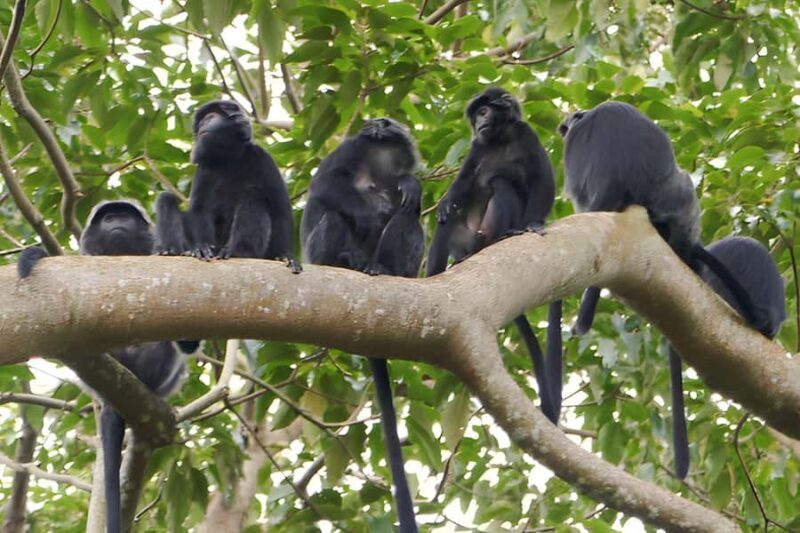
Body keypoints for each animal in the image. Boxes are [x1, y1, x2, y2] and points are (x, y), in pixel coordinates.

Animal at [155, 99, 301, 272]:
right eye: (201, 123)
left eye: (209, 119)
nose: (202, 127)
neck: (229, 158)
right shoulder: (204, 168)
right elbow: (200, 209)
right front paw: (203, 248)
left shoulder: (263, 158)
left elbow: (280, 210)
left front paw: (284, 254)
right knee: (166, 198)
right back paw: (173, 251)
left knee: (254, 194)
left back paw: (240, 251)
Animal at [301, 118, 423, 532]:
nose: (376, 124)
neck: (380, 161)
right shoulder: (348, 151)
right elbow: (326, 186)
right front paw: (371, 210)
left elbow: (410, 198)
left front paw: (409, 187)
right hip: (319, 251)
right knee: (334, 217)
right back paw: (347, 259)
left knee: (409, 219)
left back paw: (385, 268)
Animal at [426, 87, 562, 424]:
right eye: (477, 115)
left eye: (486, 111)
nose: (479, 122)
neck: (500, 140)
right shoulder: (477, 147)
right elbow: (459, 189)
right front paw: (446, 202)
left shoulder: (526, 135)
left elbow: (543, 180)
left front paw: (534, 224)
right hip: (461, 237)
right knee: (449, 219)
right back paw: (438, 271)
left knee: (501, 182)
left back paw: (504, 235)